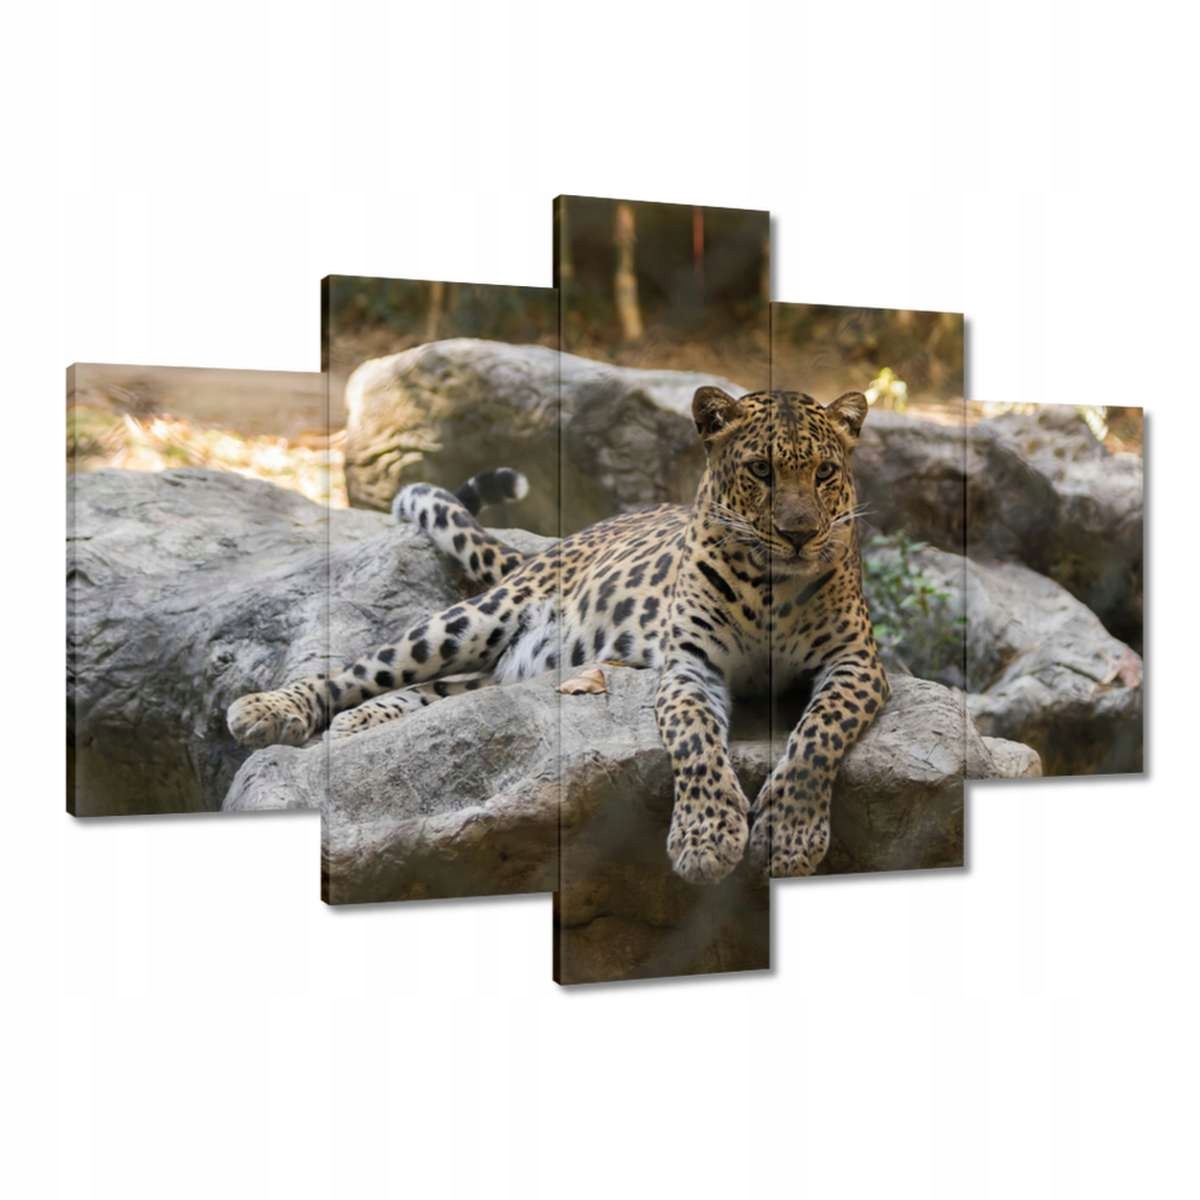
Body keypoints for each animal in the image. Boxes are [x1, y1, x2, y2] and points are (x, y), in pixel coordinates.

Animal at [227, 387, 889, 883]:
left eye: (825, 473)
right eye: (760, 471)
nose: (801, 534)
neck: (770, 586)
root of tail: (563, 542)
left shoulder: (856, 664)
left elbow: (817, 738)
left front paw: (790, 836)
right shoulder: (690, 669)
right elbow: (697, 742)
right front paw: (706, 840)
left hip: (516, 668)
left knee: (445, 690)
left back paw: (363, 721)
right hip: (474, 619)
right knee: (365, 667)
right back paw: (270, 709)